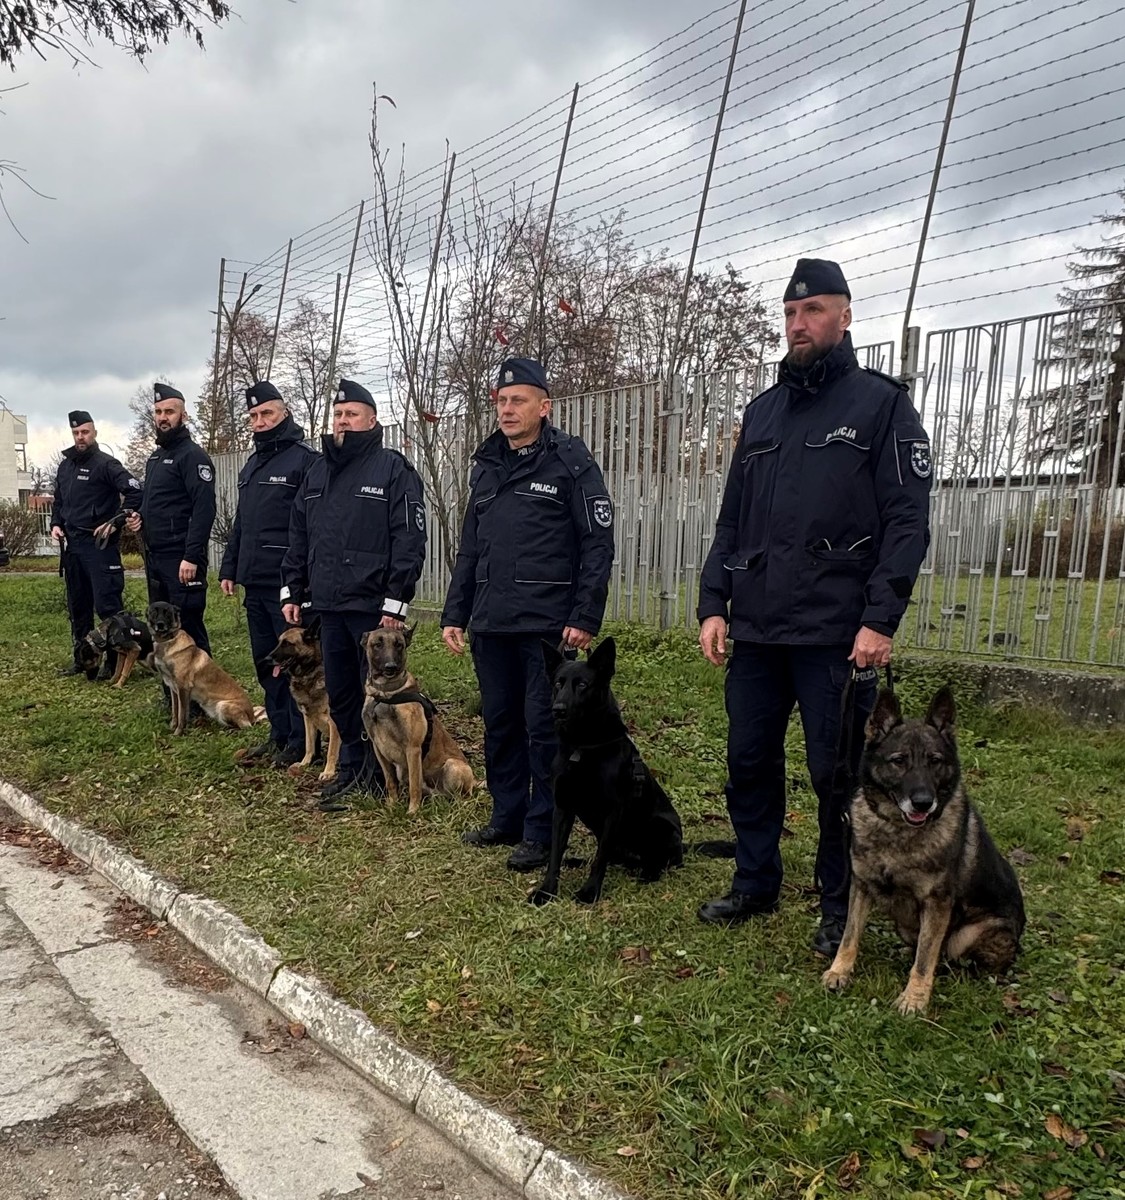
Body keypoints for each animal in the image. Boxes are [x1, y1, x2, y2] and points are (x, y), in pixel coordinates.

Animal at [147, 601, 266, 736]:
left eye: (167, 613)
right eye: (154, 612)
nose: (160, 624)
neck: (167, 641)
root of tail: (253, 717)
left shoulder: (183, 688)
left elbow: (182, 715)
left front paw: (178, 733)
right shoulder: (173, 689)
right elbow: (175, 711)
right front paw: (172, 726)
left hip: (223, 705)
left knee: (245, 727)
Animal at [264, 617, 341, 782]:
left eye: (287, 644)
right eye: (279, 642)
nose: (266, 659)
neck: (309, 674)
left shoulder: (334, 723)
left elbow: (331, 750)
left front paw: (328, 771)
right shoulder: (308, 718)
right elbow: (309, 745)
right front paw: (304, 763)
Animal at [360, 625, 474, 814]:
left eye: (399, 645)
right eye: (377, 644)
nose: (390, 667)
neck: (385, 694)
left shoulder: (412, 749)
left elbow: (415, 785)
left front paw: (412, 811)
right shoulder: (378, 748)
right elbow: (390, 782)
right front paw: (392, 805)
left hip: (453, 766)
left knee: (462, 796)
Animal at [530, 637, 684, 906]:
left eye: (582, 684)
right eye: (558, 683)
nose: (558, 709)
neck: (583, 747)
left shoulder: (613, 811)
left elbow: (600, 858)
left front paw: (589, 892)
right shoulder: (562, 808)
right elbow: (555, 854)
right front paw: (547, 890)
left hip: (661, 828)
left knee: (657, 860)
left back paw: (649, 872)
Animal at [821, 686, 1026, 1015]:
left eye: (935, 760)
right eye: (899, 760)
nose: (922, 803)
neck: (897, 832)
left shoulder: (937, 903)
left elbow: (925, 958)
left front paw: (914, 999)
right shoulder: (861, 886)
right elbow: (849, 936)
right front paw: (839, 972)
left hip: (973, 932)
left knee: (951, 956)